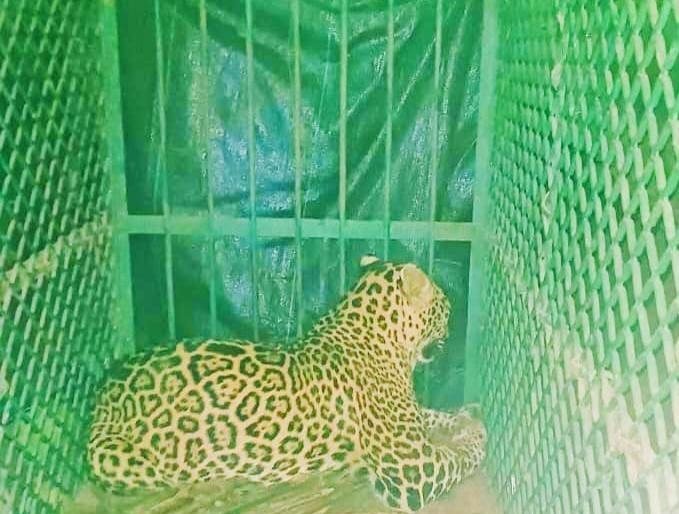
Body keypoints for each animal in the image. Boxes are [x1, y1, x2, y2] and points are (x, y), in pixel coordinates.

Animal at [87, 256, 486, 512]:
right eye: (444, 303)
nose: (452, 321)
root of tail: (103, 393)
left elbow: (432, 414)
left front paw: (468, 415)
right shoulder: (412, 469)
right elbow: (459, 459)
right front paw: (478, 436)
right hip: (115, 458)